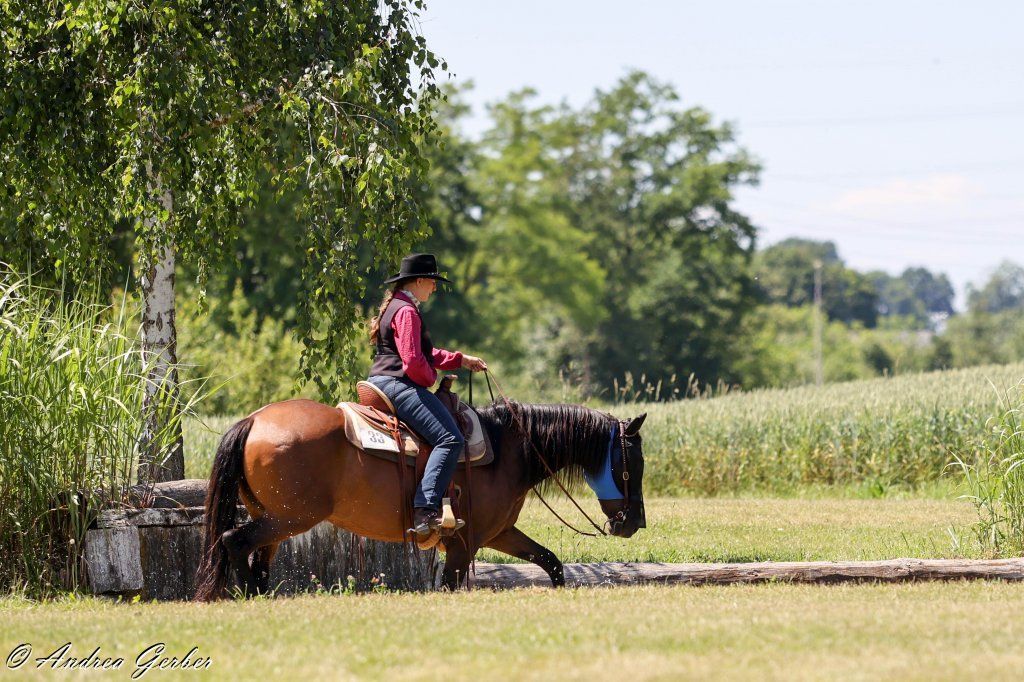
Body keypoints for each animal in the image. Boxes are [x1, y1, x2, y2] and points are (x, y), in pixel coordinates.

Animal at [194, 397, 647, 600]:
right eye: (634, 464)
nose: (634, 524)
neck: (508, 449)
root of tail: (254, 420)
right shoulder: (464, 543)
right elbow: (449, 584)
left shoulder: (497, 533)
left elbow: (550, 561)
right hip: (290, 518)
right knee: (234, 541)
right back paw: (247, 596)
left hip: (275, 518)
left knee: (256, 554)